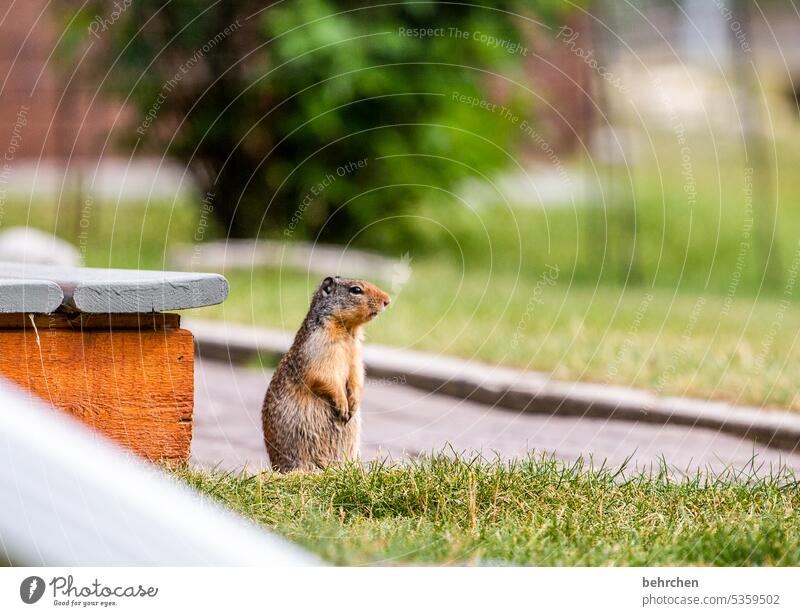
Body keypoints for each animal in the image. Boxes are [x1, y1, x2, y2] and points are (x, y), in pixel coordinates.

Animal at [262, 274, 390, 472]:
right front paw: (343, 405)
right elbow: (324, 376)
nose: (387, 300)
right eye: (356, 290)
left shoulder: (356, 355)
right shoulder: (319, 347)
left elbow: (357, 376)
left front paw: (354, 402)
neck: (347, 332)